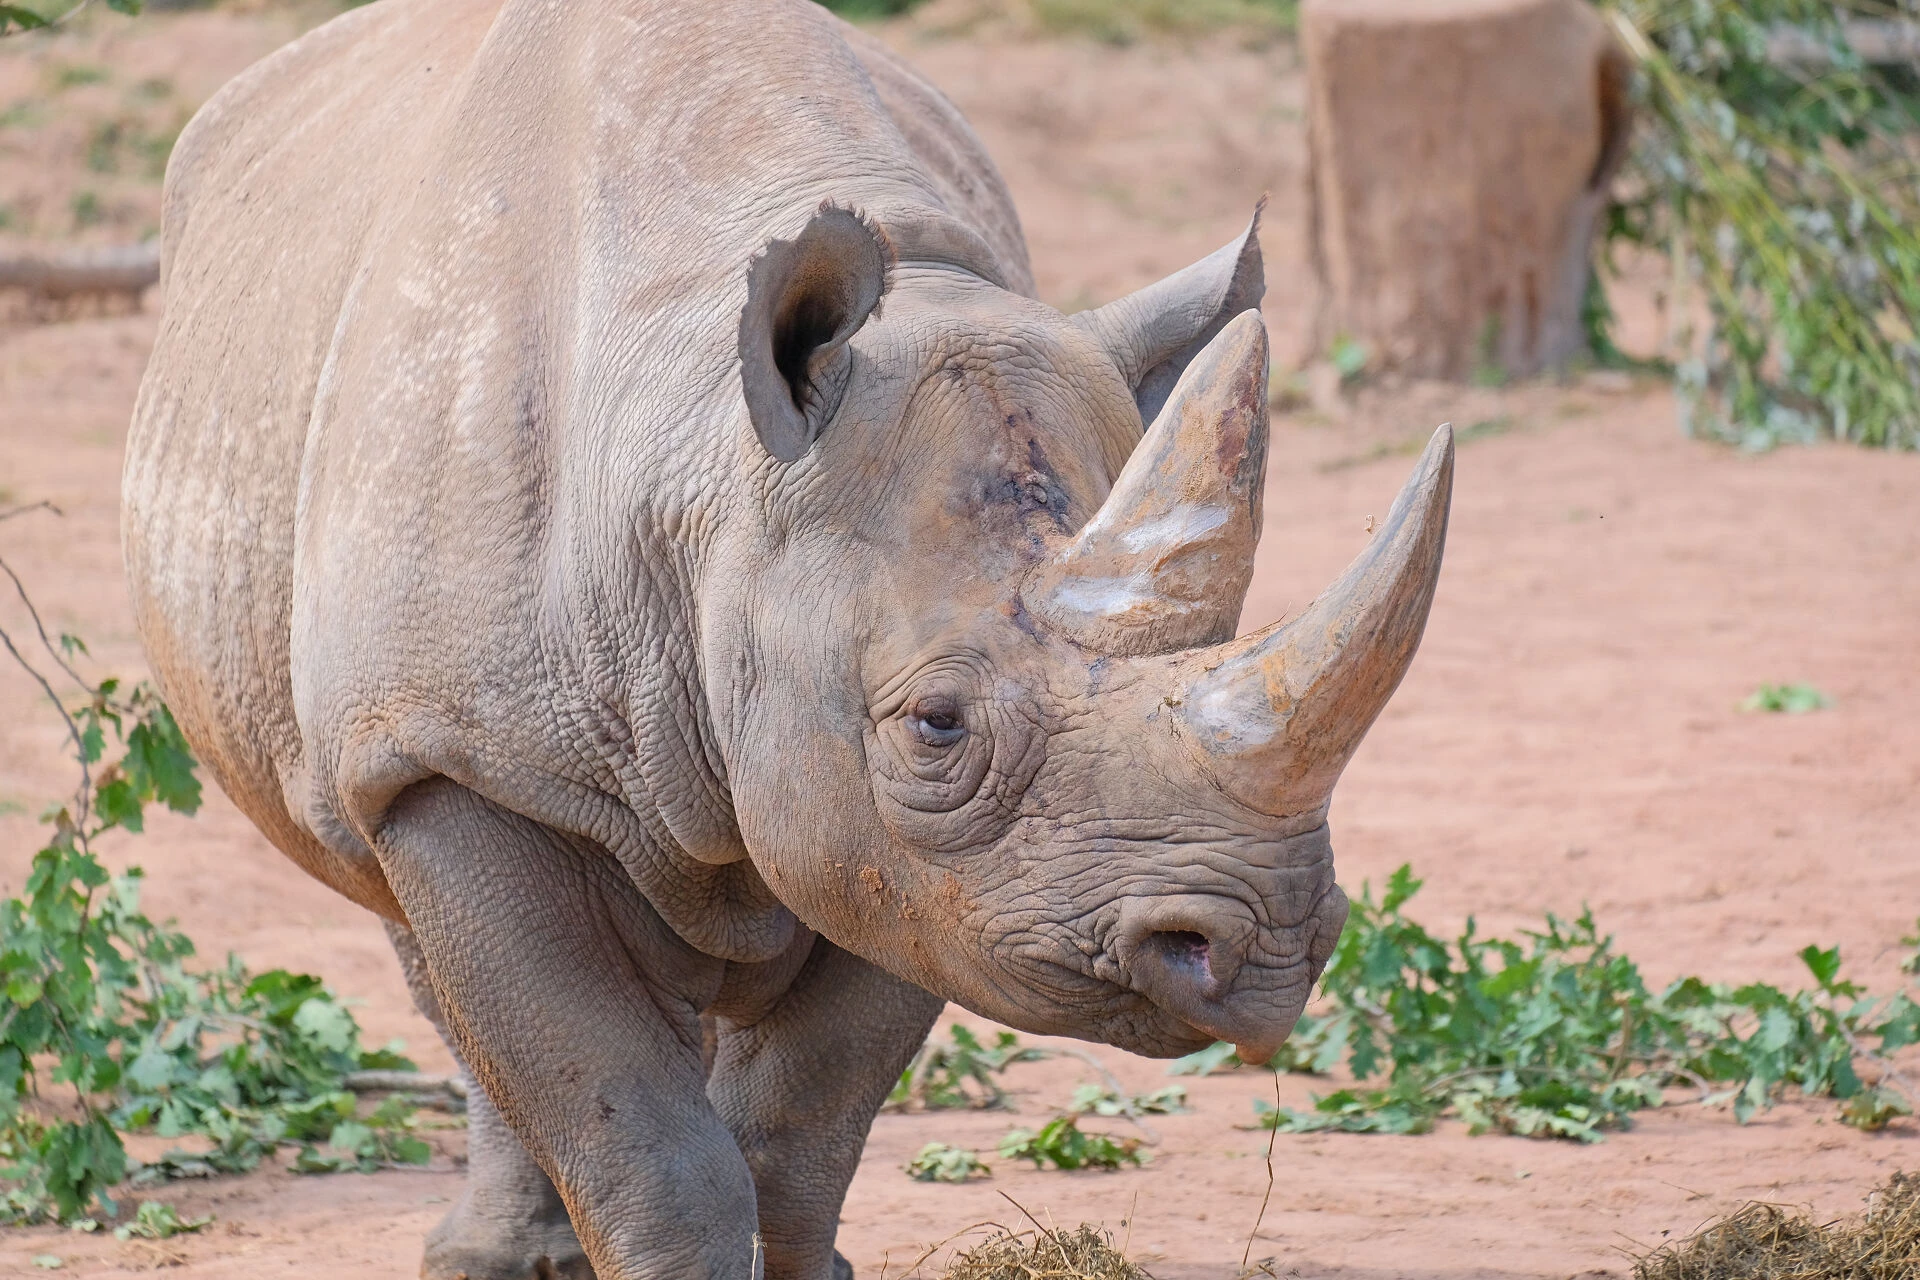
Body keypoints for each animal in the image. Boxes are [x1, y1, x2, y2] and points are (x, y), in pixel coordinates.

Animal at [121, 0, 1453, 1276]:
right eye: (936, 723)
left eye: (1218, 628)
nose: (1267, 949)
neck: (697, 467)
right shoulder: (456, 753)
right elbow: (639, 1132)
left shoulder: (906, 863)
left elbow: (798, 1132)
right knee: (417, 923)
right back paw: (494, 1259)